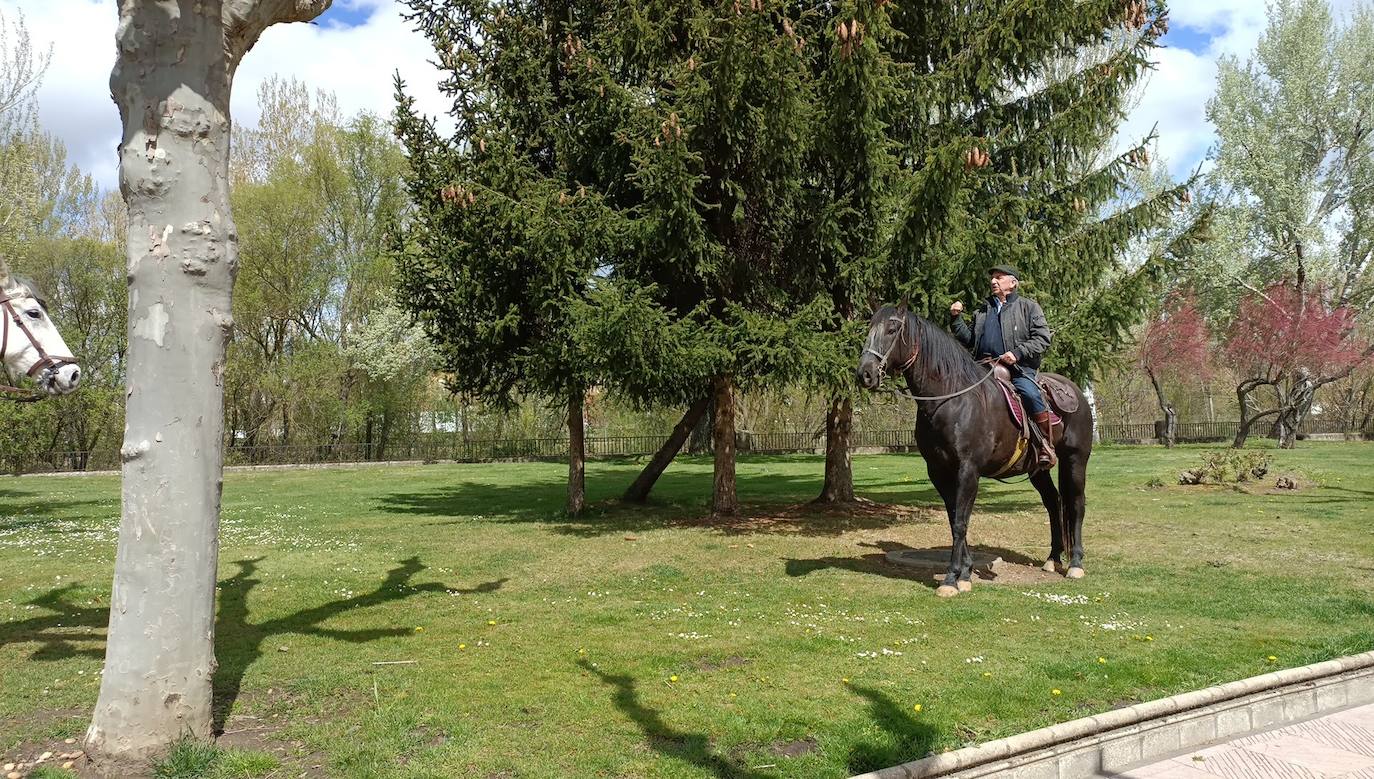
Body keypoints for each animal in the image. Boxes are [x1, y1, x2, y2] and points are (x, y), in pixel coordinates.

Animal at [857, 305, 1093, 596]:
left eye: (892, 329)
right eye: (870, 328)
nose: (865, 373)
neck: (952, 399)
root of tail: (1076, 392)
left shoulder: (968, 470)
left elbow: (961, 522)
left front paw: (951, 579)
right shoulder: (939, 472)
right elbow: (955, 519)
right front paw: (966, 573)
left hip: (1076, 459)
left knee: (1076, 504)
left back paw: (1075, 564)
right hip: (1038, 469)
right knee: (1053, 501)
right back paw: (1052, 559)